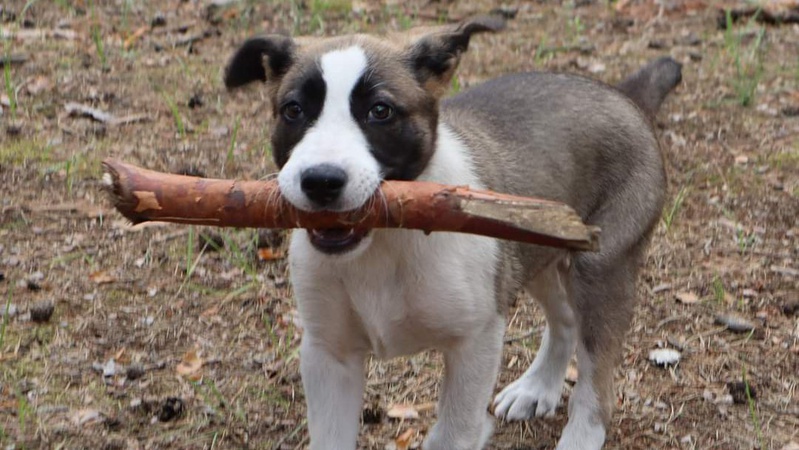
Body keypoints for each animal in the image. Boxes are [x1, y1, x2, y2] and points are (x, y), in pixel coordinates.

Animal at [225, 16, 680, 450]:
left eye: (380, 111)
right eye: (293, 110)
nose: (321, 181)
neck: (383, 245)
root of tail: (620, 94)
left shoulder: (475, 339)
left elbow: (453, 435)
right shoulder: (328, 354)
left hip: (600, 267)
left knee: (596, 375)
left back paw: (581, 433)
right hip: (532, 251)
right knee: (565, 317)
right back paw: (537, 388)